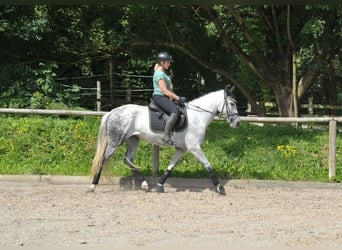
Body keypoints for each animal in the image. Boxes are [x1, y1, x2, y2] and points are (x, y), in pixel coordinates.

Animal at [91, 87, 240, 194]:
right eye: (232, 103)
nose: (237, 123)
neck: (198, 117)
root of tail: (112, 112)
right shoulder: (194, 148)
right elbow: (208, 165)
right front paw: (220, 188)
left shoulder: (181, 149)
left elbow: (170, 167)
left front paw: (159, 185)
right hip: (115, 142)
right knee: (103, 160)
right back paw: (93, 186)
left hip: (133, 140)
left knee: (128, 160)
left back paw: (144, 184)